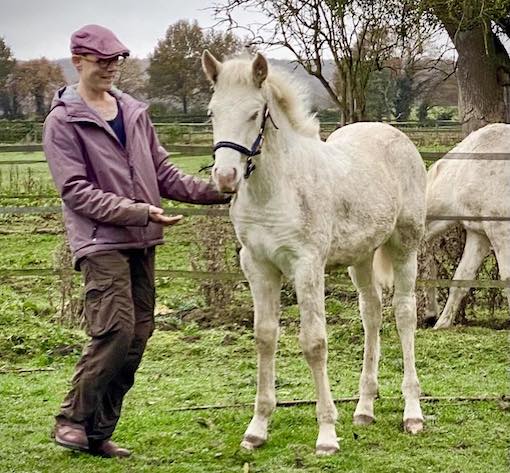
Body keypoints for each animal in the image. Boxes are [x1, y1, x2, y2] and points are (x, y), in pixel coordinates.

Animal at [201, 50, 426, 455]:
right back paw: (364, 408)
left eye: (255, 113)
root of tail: (394, 134)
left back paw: (412, 413)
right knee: (371, 312)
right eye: (212, 112)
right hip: (361, 257)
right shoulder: (257, 266)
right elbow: (264, 338)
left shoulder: (307, 265)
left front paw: (327, 435)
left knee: (404, 314)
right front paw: (257, 428)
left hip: (405, 246)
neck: (275, 189)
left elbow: (314, 343)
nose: (226, 178)